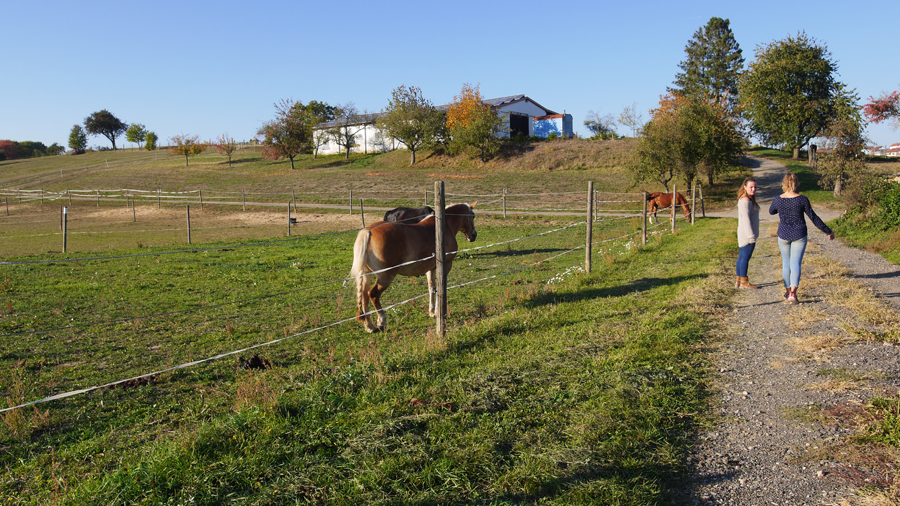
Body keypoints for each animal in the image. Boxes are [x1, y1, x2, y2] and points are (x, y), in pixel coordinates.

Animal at [350, 203, 477, 333]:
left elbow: (432, 288)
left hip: (366, 275)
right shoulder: (446, 265)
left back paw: (370, 326)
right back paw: (382, 321)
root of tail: (368, 231)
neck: (445, 225)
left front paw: (432, 312)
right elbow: (440, 288)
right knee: (373, 294)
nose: (473, 235)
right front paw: (438, 311)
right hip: (385, 276)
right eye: (473, 216)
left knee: (364, 297)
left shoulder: (431, 268)